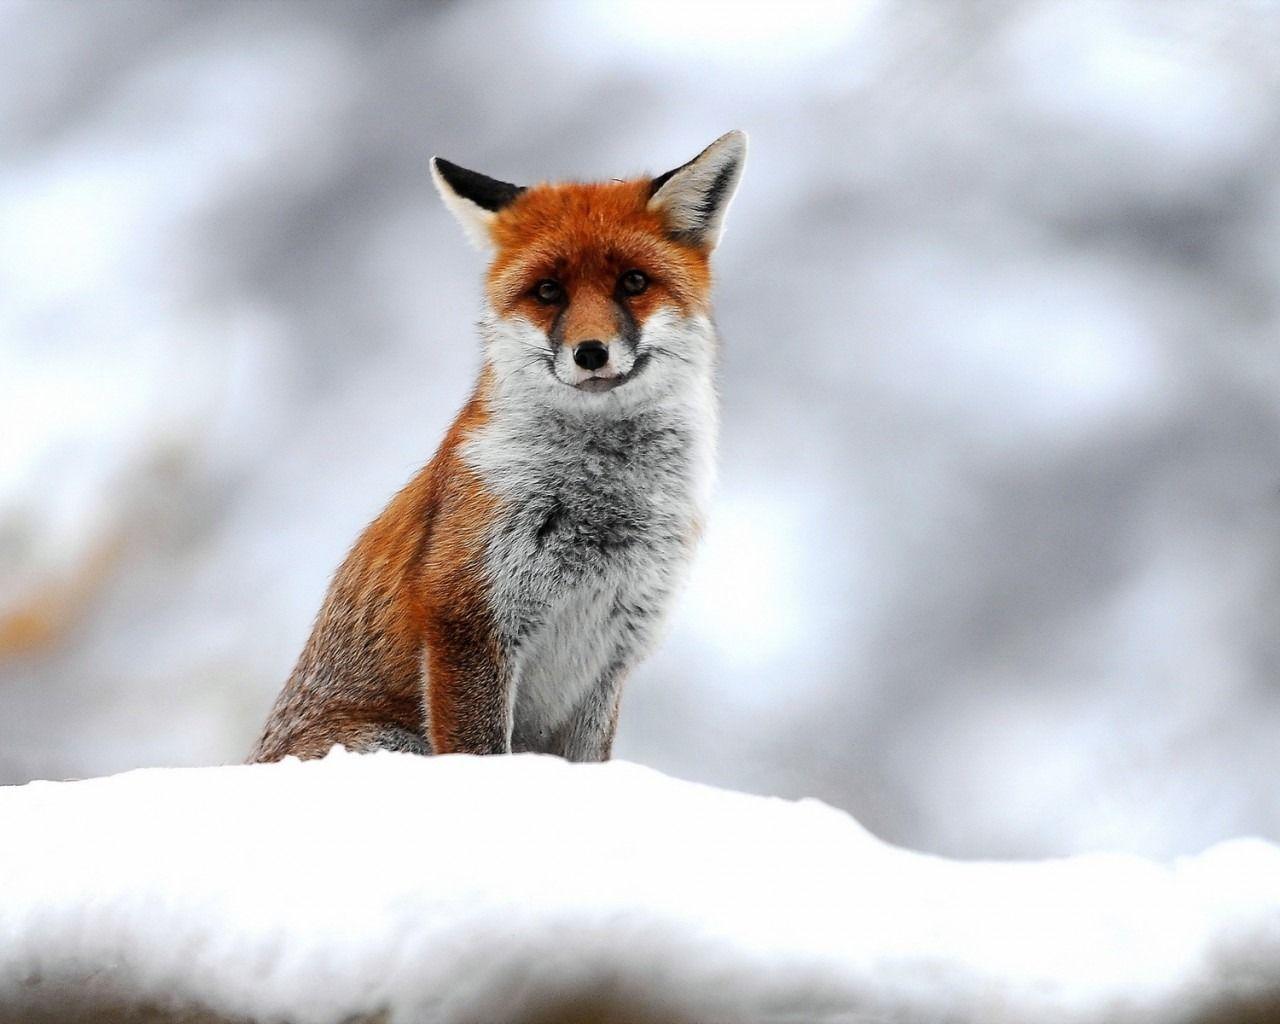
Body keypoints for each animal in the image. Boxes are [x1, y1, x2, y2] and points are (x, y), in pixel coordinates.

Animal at [250, 131, 747, 763]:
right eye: (548, 291)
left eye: (633, 282)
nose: (590, 352)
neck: (603, 504)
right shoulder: (468, 618)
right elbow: (482, 751)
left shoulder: (611, 653)